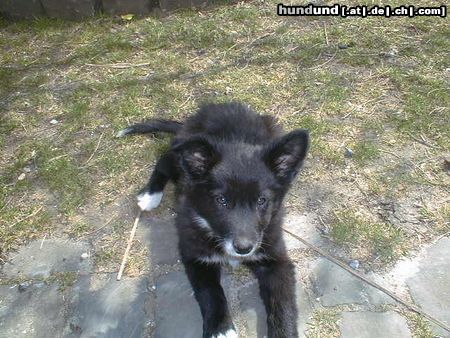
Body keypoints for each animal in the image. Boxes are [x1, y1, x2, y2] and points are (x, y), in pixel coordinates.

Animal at [118, 103, 312, 338]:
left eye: (262, 200)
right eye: (222, 200)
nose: (244, 248)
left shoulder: (276, 259)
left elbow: (283, 305)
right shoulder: (195, 256)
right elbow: (211, 293)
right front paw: (221, 329)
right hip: (180, 160)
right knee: (163, 161)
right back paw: (150, 195)